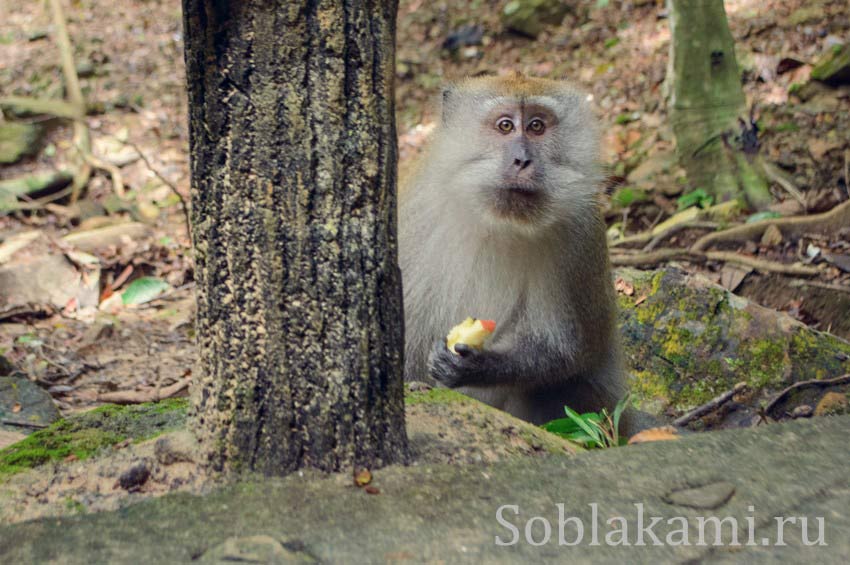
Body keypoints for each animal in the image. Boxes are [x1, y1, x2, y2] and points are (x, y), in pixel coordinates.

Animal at [398, 72, 636, 430]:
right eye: (505, 126)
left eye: (537, 126)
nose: (523, 160)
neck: (497, 221)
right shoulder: (413, 215)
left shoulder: (580, 233)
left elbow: (569, 349)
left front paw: (479, 365)